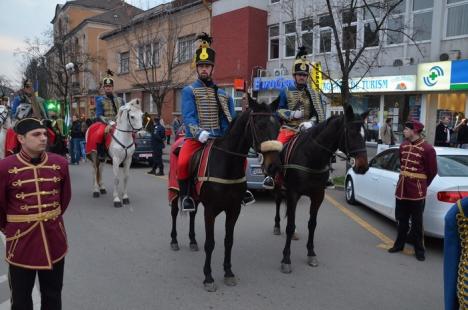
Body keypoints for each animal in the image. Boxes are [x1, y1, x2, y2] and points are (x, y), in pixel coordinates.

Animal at [171, 98, 282, 292]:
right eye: (259, 125)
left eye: (277, 126)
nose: (274, 166)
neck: (227, 164)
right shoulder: (210, 211)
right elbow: (210, 243)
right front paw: (208, 277)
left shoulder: (234, 209)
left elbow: (228, 241)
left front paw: (228, 273)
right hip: (175, 191)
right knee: (174, 212)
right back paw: (174, 241)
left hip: (195, 197)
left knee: (192, 213)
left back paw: (192, 241)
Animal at [270, 105, 370, 272]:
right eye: (350, 133)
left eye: (365, 134)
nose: (363, 166)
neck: (311, 156)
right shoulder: (293, 193)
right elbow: (289, 225)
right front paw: (286, 259)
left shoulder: (318, 195)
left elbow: (312, 224)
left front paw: (311, 253)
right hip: (278, 185)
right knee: (278, 202)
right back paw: (277, 226)